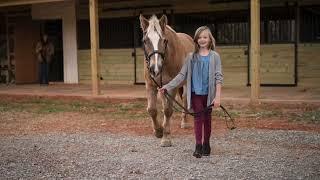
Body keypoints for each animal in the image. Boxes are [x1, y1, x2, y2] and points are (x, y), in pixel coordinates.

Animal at [139, 14, 194, 146]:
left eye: (164, 40)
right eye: (145, 41)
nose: (155, 68)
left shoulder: (172, 86)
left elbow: (168, 110)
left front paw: (166, 138)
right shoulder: (150, 85)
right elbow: (152, 109)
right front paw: (158, 131)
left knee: (184, 98)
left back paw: (184, 122)